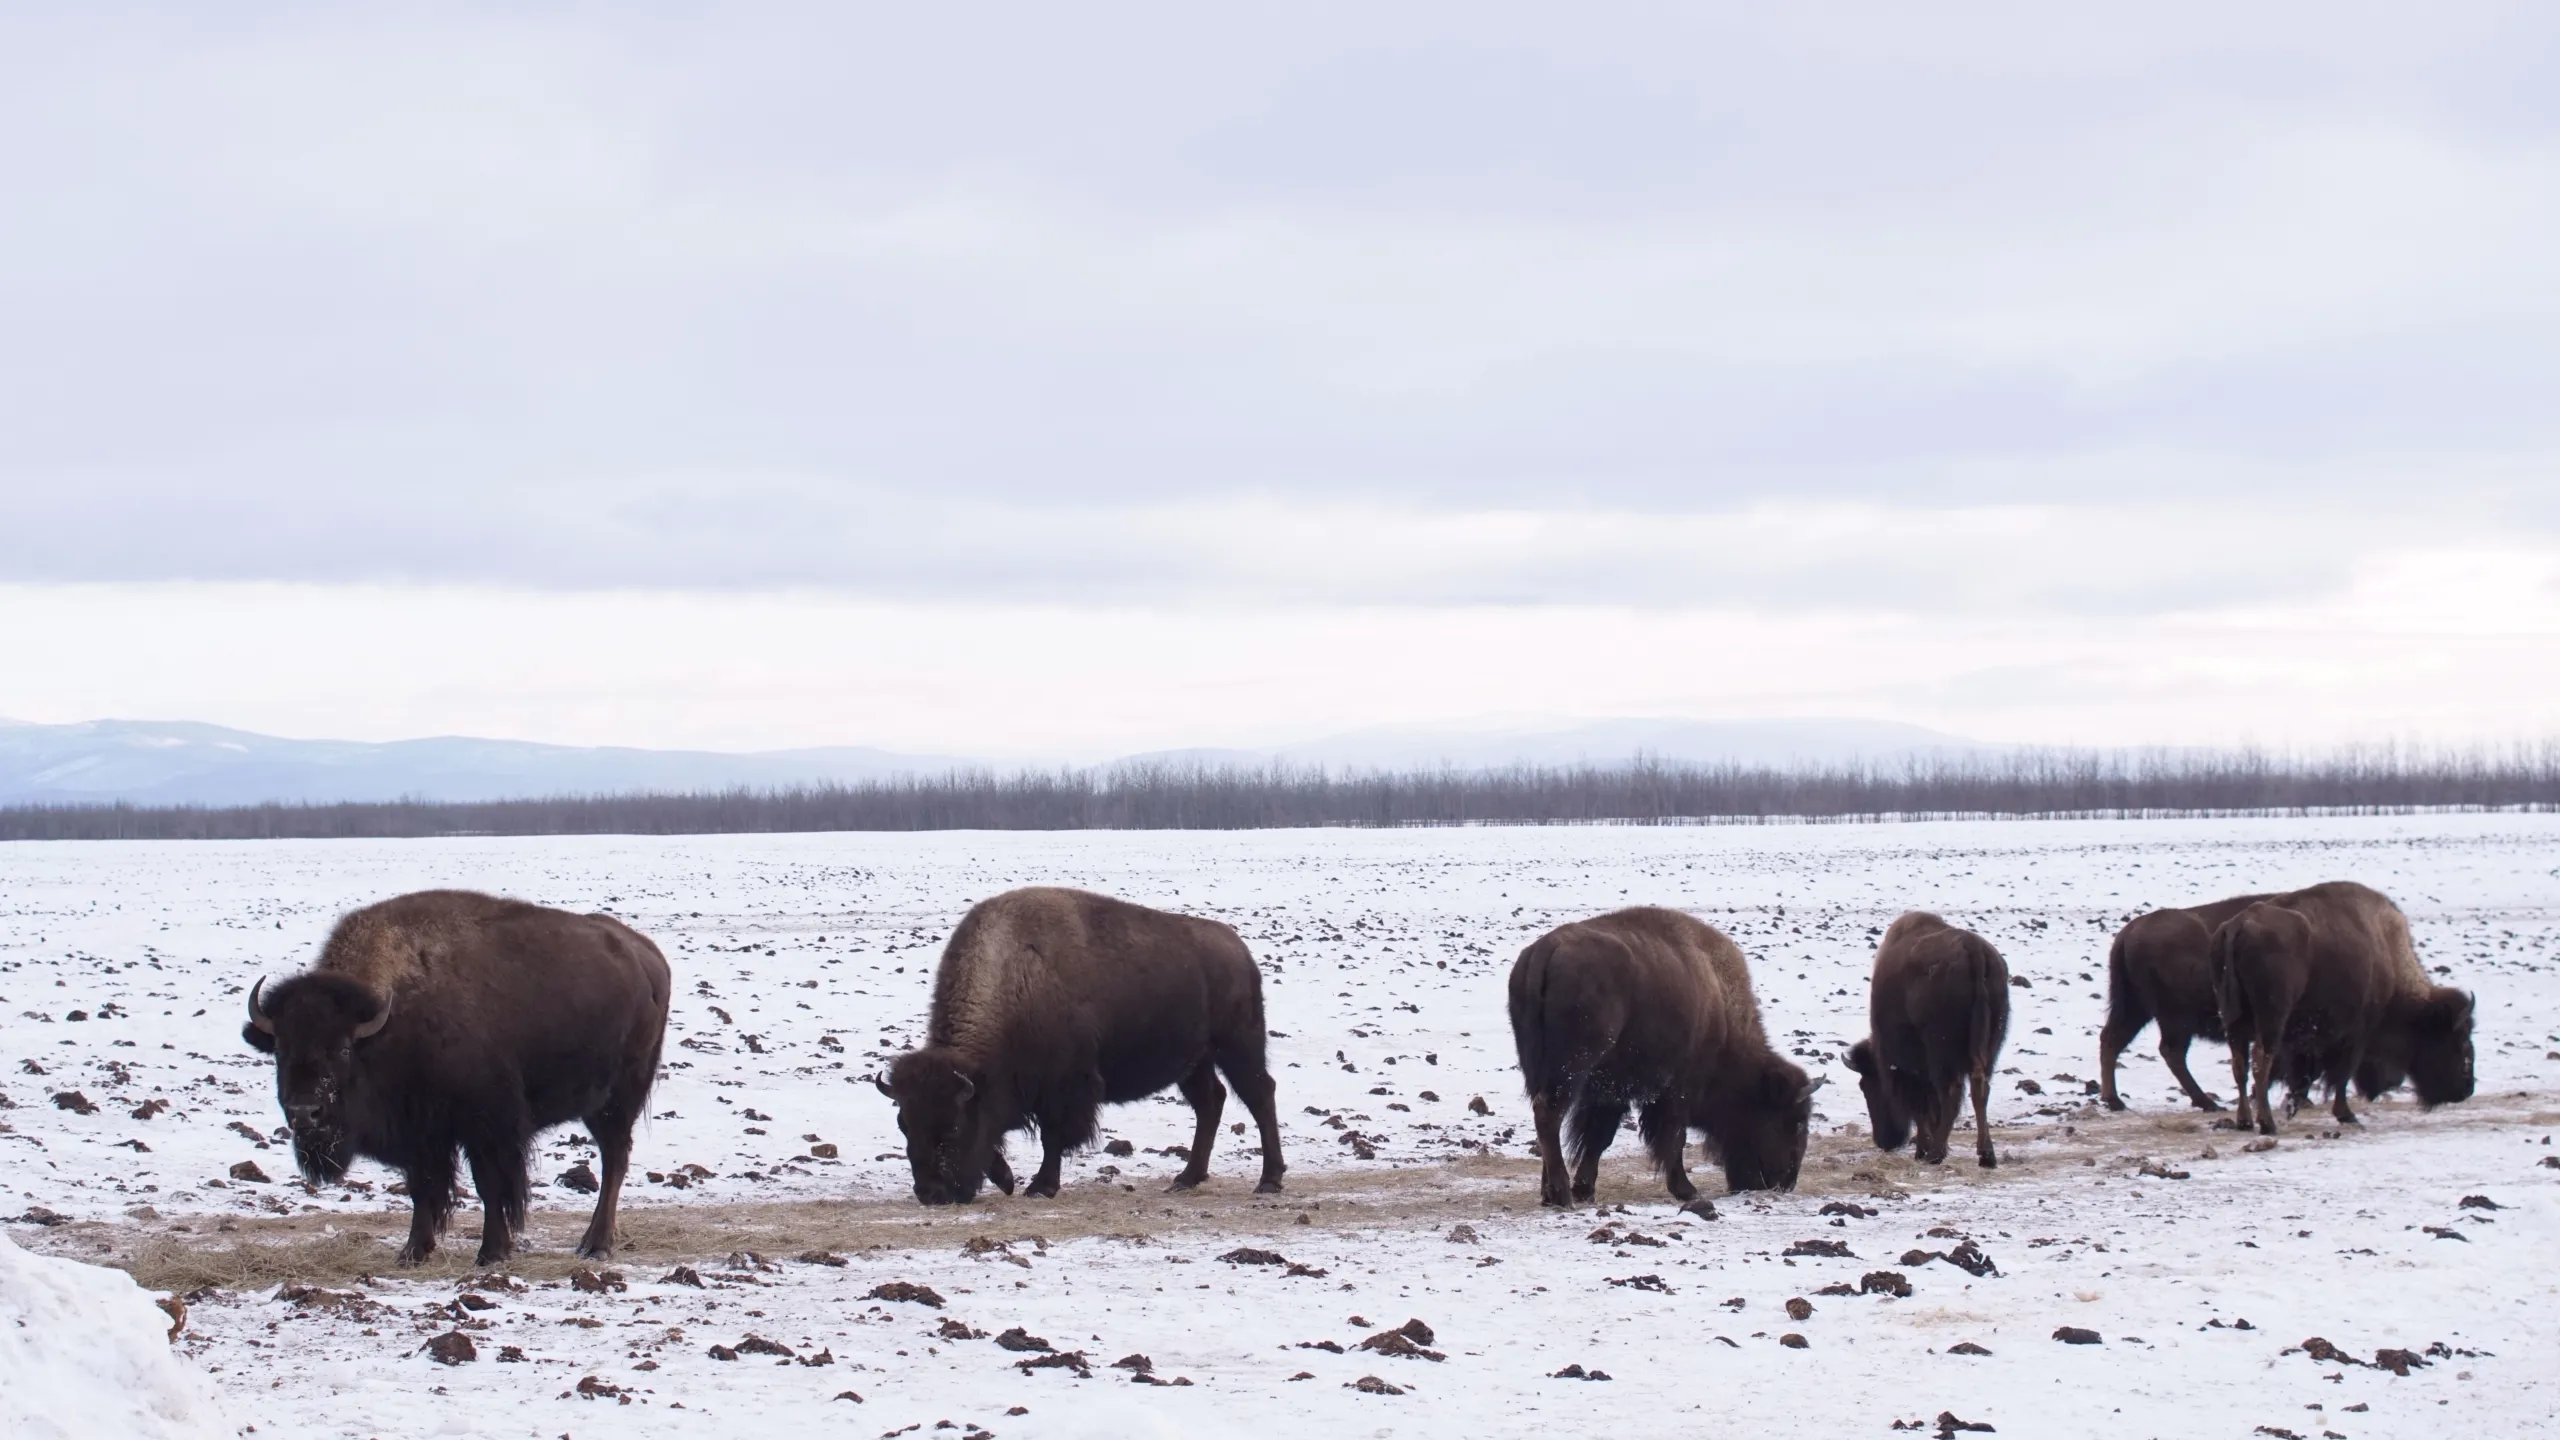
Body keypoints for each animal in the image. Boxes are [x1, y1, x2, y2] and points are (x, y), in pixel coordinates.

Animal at [243, 890, 671, 1265]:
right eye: (280, 1049)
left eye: (344, 1049)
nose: (304, 1112)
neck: (389, 1023)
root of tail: (648, 957)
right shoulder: (423, 1135)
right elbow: (423, 1188)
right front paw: (412, 1252)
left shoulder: (485, 1128)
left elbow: (489, 1186)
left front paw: (492, 1253)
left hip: (616, 1102)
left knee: (614, 1161)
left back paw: (597, 1245)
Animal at [877, 887, 1286, 1205]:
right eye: (903, 1124)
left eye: (953, 1127)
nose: (931, 1194)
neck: (1017, 980)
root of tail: (1240, 952)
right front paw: (1007, 1180)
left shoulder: (1064, 1089)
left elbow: (1053, 1137)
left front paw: (1041, 1187)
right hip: (1195, 1061)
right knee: (1210, 1102)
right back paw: (1186, 1179)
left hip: (1236, 1046)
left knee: (1260, 1095)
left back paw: (1269, 1181)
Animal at [1508, 907, 1813, 1211]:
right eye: (1793, 1121)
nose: (1786, 1183)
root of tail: (1545, 950)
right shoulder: (1675, 1092)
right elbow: (1673, 1138)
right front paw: (1688, 1191)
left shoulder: (1611, 1092)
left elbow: (1599, 1138)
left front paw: (1586, 1189)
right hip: (1571, 1068)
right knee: (1549, 1114)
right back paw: (1562, 1196)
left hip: (1541, 1069)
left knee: (1549, 1121)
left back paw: (1550, 1194)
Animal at [1845, 912, 2008, 1169]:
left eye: (1865, 1085)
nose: (1885, 1142)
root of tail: (1973, 949)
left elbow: (1922, 1105)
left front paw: (1922, 1149)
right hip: (1989, 1045)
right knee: (1980, 1087)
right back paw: (1986, 1156)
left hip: (1940, 1051)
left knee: (1951, 1091)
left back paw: (1935, 1154)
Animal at [2214, 881, 2475, 1135]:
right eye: (2458, 1039)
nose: (2466, 1089)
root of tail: (2239, 924)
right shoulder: (2357, 1033)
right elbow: (2342, 1075)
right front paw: (2347, 1116)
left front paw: (2293, 1106)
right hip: (2272, 1019)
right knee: (2260, 1061)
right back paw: (2267, 1124)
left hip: (2234, 1019)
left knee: (2240, 1065)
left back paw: (2245, 1122)